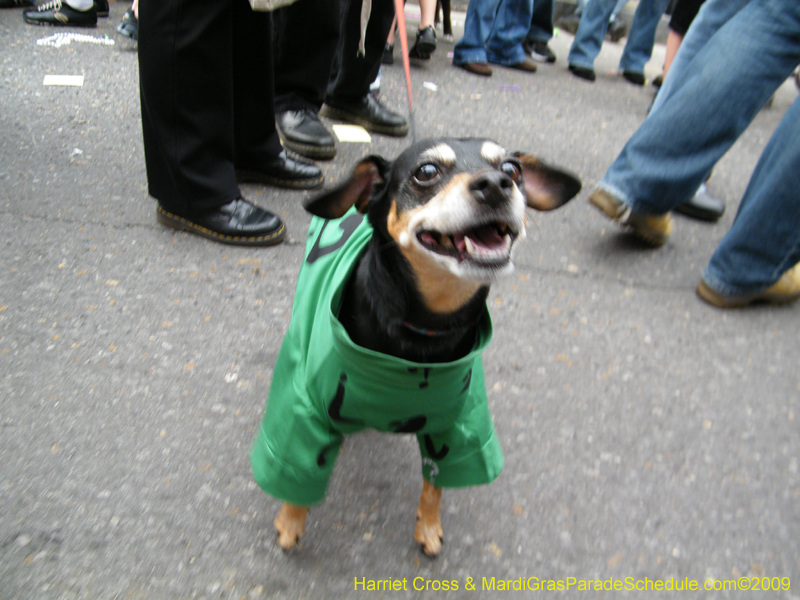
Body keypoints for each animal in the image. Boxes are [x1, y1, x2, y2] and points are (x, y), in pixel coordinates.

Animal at [250, 137, 580, 556]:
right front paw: (291, 523)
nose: (495, 184)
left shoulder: (459, 428)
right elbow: (297, 474)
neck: (423, 329)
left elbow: (436, 485)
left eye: (512, 169)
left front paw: (429, 526)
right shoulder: (302, 411)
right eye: (427, 171)